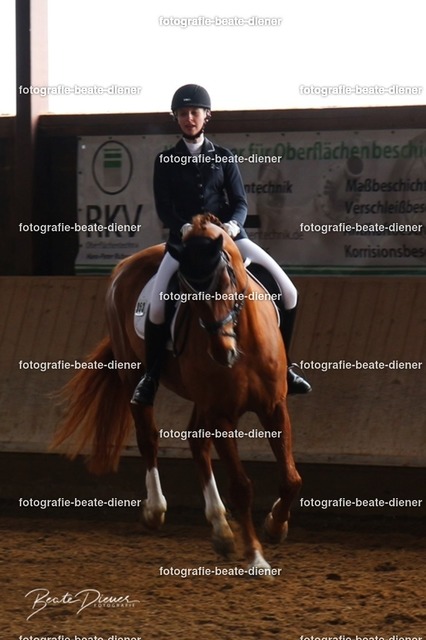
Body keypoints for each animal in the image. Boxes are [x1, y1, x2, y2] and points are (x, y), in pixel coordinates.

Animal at [52, 213, 302, 572]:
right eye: (184, 290)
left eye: (225, 279)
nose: (222, 353)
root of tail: (125, 265)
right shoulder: (221, 414)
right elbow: (241, 487)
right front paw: (256, 558)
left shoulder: (273, 406)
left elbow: (291, 478)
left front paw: (276, 524)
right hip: (133, 372)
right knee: (148, 436)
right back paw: (156, 510)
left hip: (203, 401)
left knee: (196, 439)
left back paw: (220, 527)